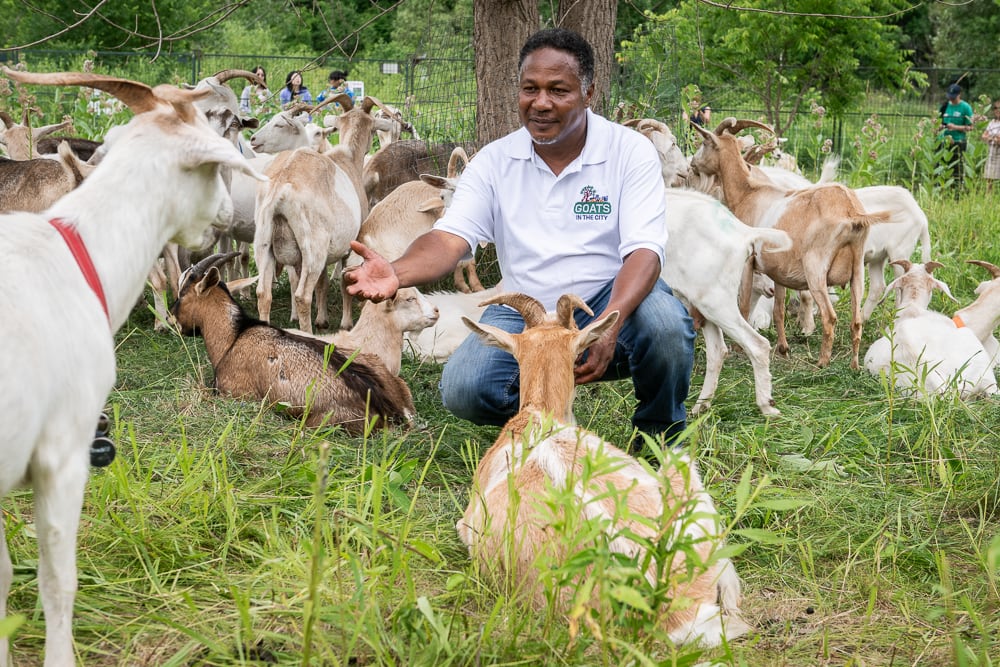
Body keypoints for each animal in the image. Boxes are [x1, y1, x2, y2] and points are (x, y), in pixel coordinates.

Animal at [690, 118, 891, 369]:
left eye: (705, 142)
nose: (692, 163)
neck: (748, 193)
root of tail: (851, 211)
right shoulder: (778, 271)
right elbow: (778, 310)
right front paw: (783, 349)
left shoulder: (748, 260)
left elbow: (743, 304)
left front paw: (739, 347)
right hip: (857, 270)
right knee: (856, 320)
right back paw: (854, 366)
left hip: (815, 268)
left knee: (829, 316)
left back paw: (822, 363)